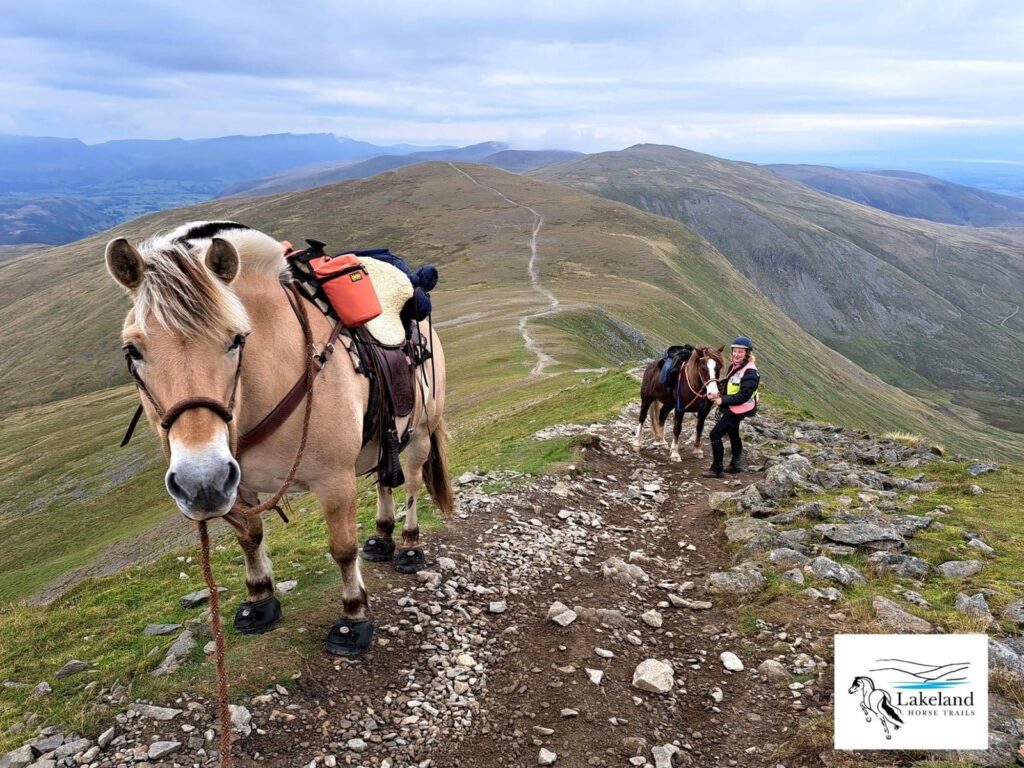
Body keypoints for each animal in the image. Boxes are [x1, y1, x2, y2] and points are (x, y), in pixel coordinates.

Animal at [105, 221, 453, 657]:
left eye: (236, 339)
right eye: (132, 350)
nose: (199, 482)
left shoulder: (334, 481)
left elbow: (342, 548)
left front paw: (353, 618)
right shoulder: (237, 485)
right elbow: (250, 538)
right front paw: (259, 600)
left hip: (420, 434)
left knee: (411, 485)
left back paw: (407, 545)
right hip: (379, 439)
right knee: (383, 482)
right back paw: (381, 537)